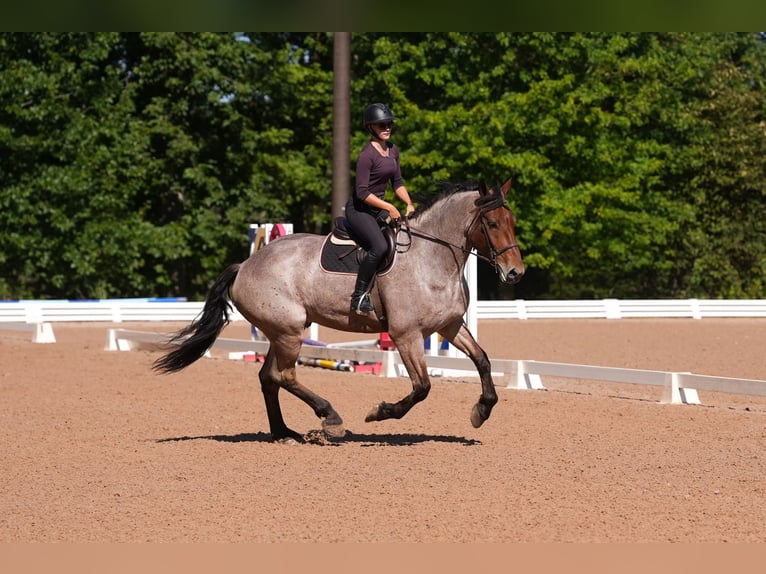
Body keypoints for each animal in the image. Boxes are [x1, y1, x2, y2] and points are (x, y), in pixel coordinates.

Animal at [153, 178, 525, 443]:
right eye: (492, 224)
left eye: (512, 220)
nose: (515, 274)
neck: (431, 257)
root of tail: (245, 265)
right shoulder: (406, 336)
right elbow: (422, 386)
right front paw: (380, 412)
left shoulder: (449, 326)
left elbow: (482, 360)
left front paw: (482, 410)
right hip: (289, 331)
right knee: (284, 376)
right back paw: (330, 418)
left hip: (280, 332)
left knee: (269, 377)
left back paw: (284, 433)